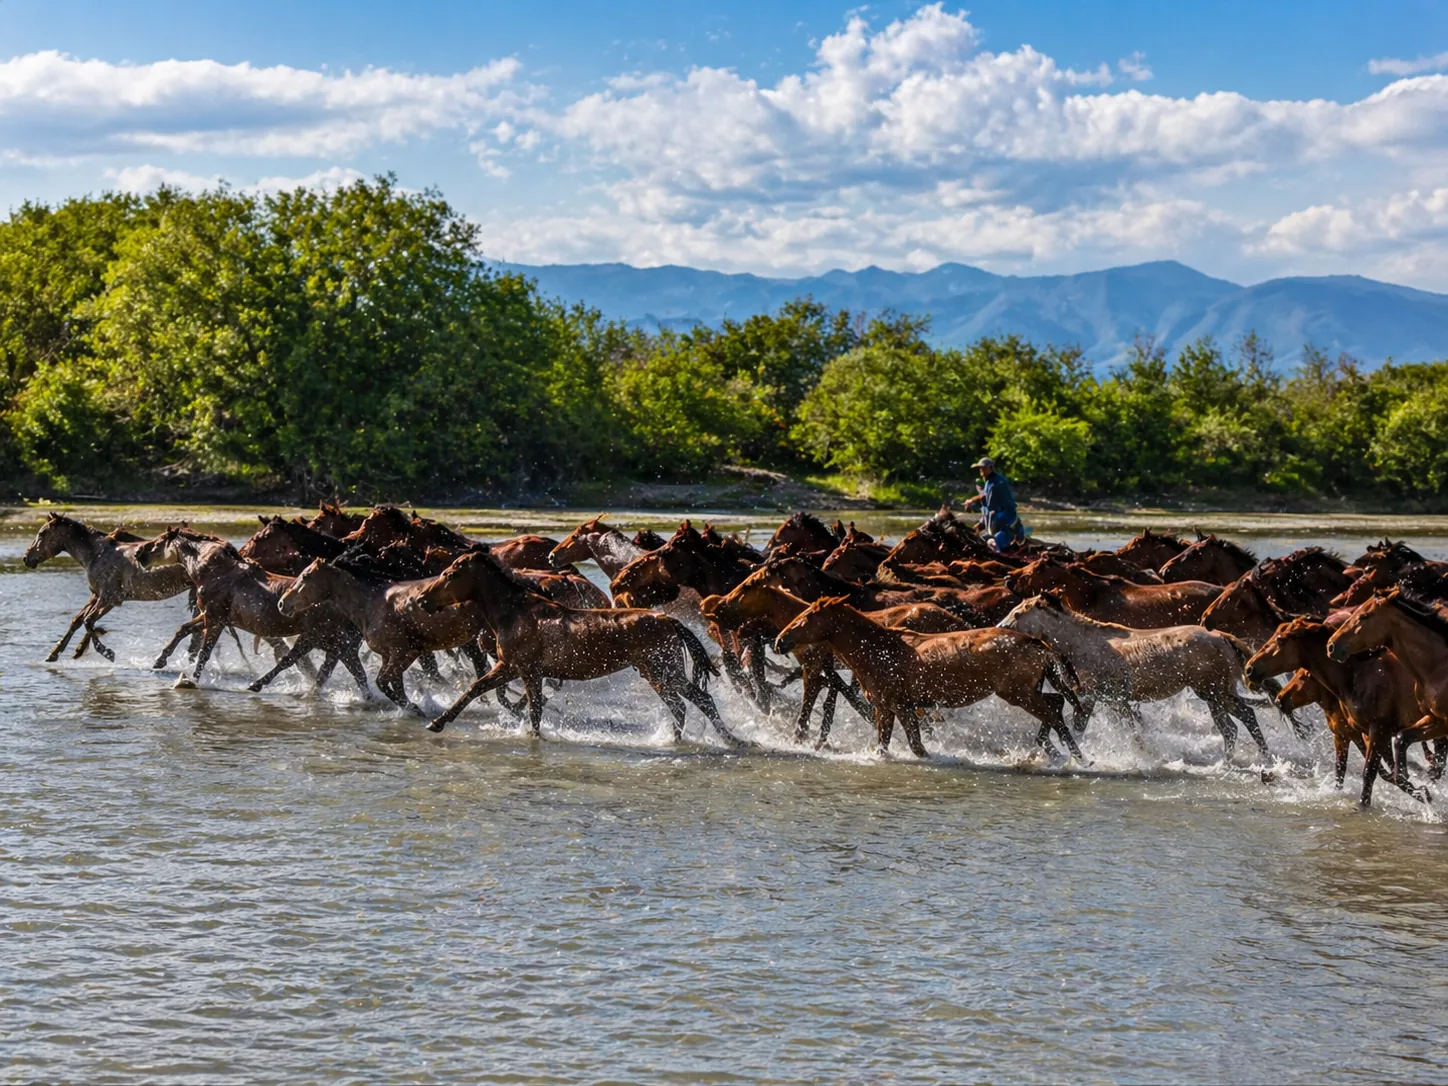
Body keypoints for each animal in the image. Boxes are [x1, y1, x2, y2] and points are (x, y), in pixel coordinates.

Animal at [23, 513, 194, 662]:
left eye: (41, 534)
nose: (26, 558)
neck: (95, 555)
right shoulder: (99, 596)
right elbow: (79, 620)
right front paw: (55, 653)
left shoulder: (110, 598)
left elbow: (88, 621)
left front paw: (107, 652)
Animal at [417, 548, 750, 747]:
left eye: (450, 574)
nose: (422, 599)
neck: (515, 614)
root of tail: (667, 619)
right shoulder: (514, 669)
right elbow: (480, 690)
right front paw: (438, 722)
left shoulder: (523, 670)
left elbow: (529, 707)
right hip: (656, 672)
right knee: (684, 704)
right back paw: (687, 739)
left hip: (664, 670)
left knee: (697, 700)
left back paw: (722, 740)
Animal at [773, 596, 1086, 760]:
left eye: (804, 618)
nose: (779, 642)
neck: (875, 652)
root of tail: (1038, 644)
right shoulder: (885, 706)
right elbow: (883, 744)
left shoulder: (901, 705)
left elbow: (916, 746)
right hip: (1028, 690)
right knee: (1057, 705)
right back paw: (1056, 751)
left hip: (1018, 693)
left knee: (1054, 713)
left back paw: (1079, 758)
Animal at [999, 594, 1277, 757]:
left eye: (1018, 613)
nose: (999, 629)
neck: (1083, 645)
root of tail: (1222, 637)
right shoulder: (1104, 700)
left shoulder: (1102, 699)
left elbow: (1118, 731)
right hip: (1213, 696)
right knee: (1230, 729)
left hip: (1215, 692)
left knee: (1246, 717)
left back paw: (1264, 758)